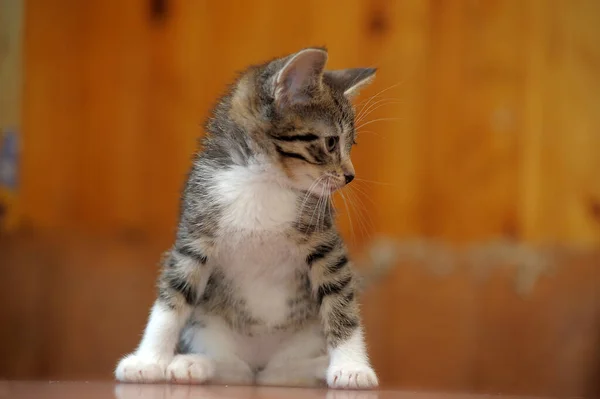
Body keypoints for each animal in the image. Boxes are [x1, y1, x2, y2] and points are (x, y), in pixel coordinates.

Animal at [115, 48, 380, 390]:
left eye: (351, 144)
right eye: (332, 142)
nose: (349, 176)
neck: (262, 180)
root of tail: (259, 364)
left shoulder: (325, 243)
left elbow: (341, 302)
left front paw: (351, 366)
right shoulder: (194, 232)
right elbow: (171, 299)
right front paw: (148, 360)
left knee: (278, 373)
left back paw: (319, 367)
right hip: (210, 331)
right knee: (236, 370)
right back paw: (192, 364)